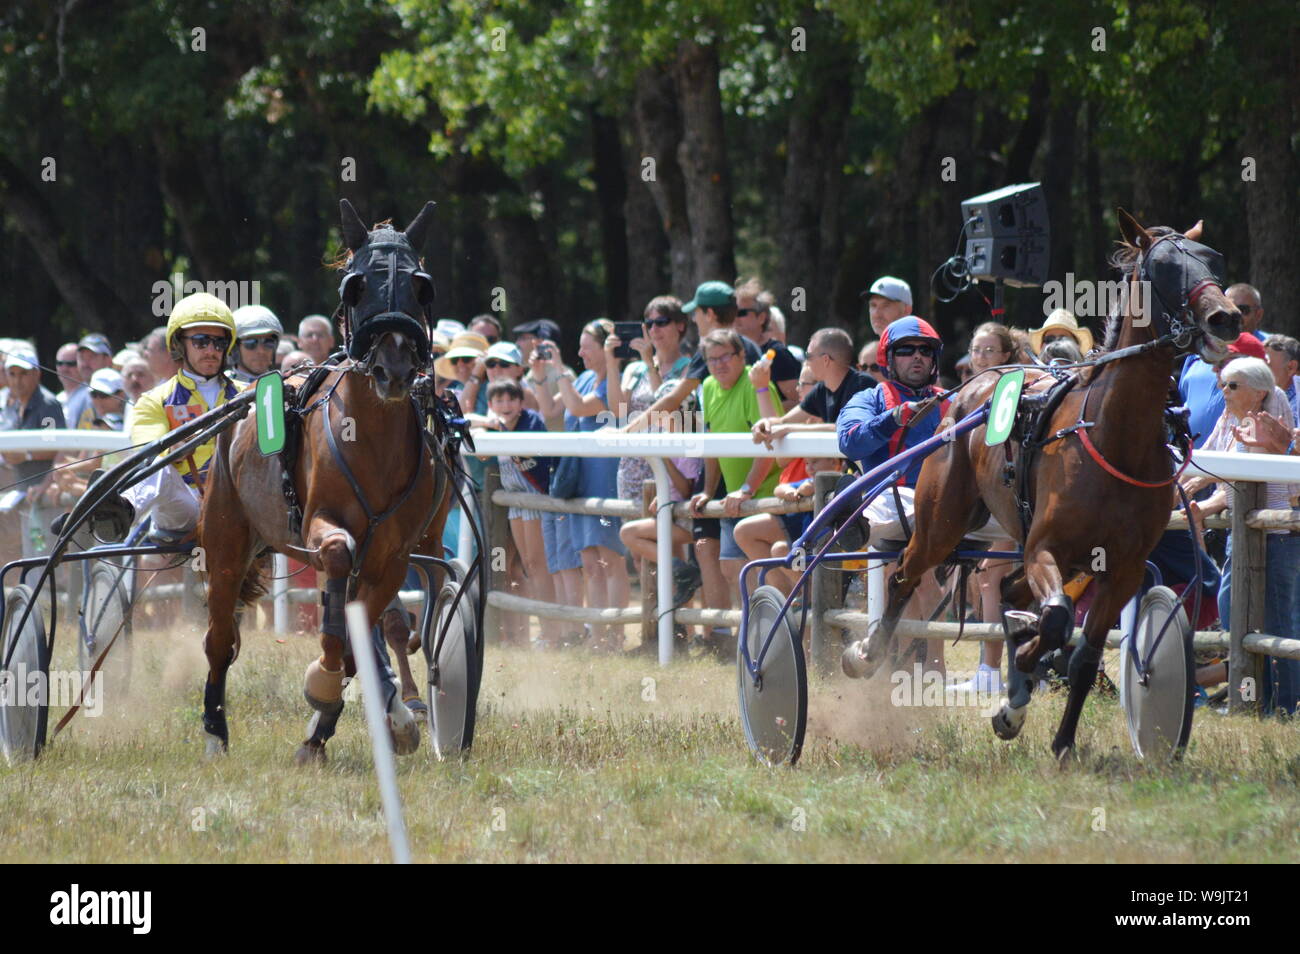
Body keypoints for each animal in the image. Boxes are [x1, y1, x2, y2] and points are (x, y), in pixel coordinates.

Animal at [198, 199, 455, 763]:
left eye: (421, 286)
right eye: (357, 285)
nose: (393, 368)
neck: (372, 441)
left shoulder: (393, 556)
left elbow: (365, 626)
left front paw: (329, 721)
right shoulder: (322, 524)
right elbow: (337, 558)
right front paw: (324, 681)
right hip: (225, 536)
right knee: (220, 638)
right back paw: (214, 730)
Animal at [842, 209, 1241, 758]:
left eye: (1215, 261)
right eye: (1163, 268)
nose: (1227, 317)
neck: (1115, 437)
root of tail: (969, 388)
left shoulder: (1122, 567)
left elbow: (1084, 652)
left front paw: (1058, 737)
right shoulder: (1044, 548)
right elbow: (1054, 620)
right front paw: (1019, 686)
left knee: (1007, 589)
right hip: (941, 522)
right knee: (905, 573)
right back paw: (865, 653)